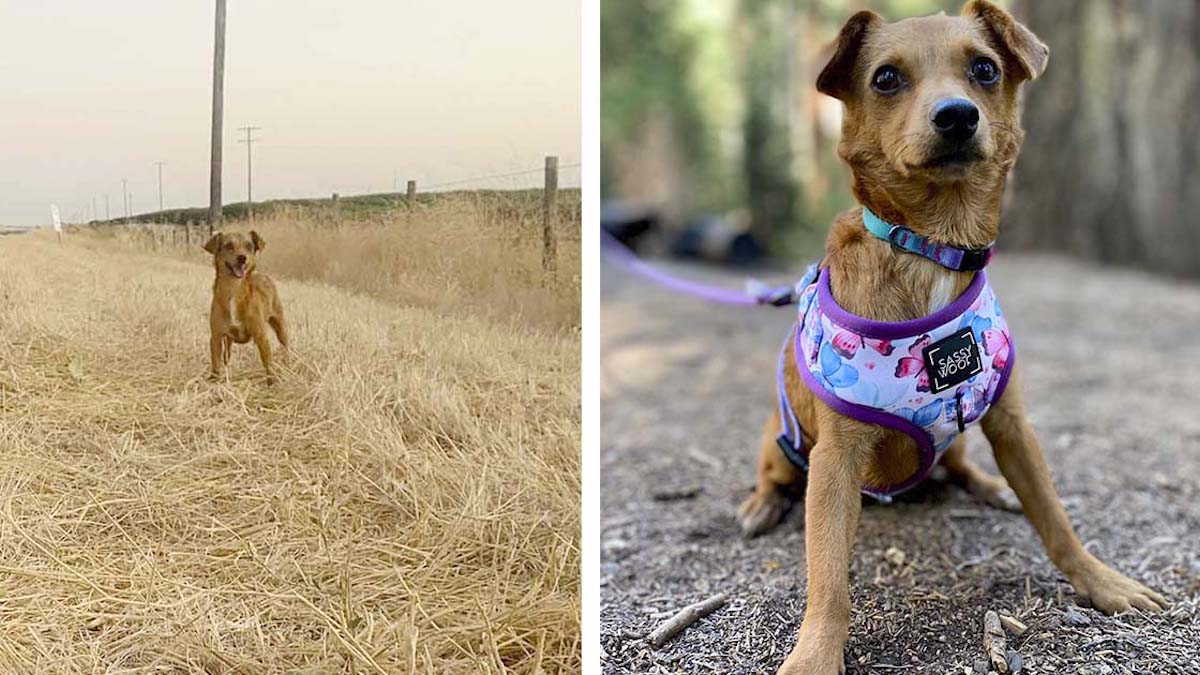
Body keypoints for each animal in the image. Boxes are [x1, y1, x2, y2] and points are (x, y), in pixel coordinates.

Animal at [202, 228, 286, 381]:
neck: (234, 291)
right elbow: (216, 362)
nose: (242, 258)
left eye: (249, 246)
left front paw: (272, 381)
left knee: (286, 347)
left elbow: (268, 363)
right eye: (229, 245)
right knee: (226, 355)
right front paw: (214, 380)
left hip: (281, 326)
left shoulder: (261, 336)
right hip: (227, 341)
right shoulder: (216, 337)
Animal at [734, 2, 1166, 667]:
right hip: (781, 440)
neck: (932, 246)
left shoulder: (1012, 424)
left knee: (960, 466)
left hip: (962, 442)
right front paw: (814, 655)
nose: (957, 115)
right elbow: (828, 579)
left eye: (985, 69)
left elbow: (1056, 518)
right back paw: (760, 503)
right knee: (775, 474)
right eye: (885, 78)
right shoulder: (835, 460)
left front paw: (1102, 582)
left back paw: (993, 486)